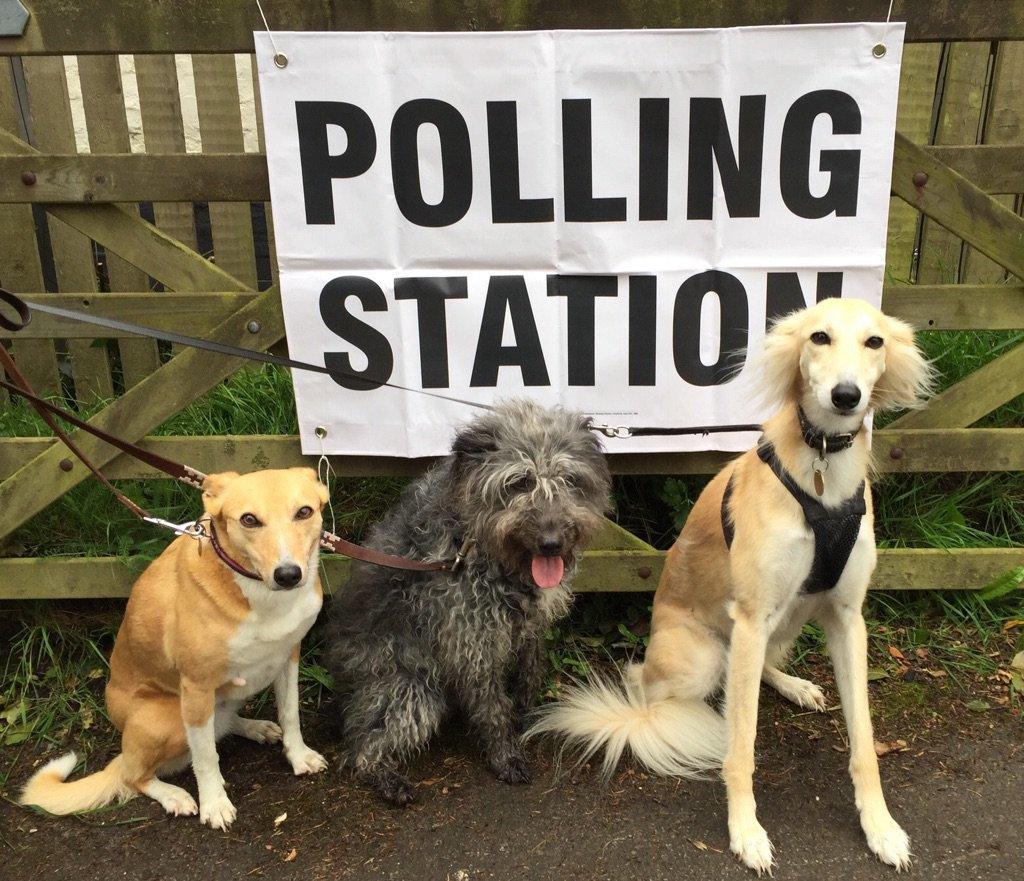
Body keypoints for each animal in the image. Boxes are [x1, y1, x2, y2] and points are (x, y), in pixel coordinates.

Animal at [22, 467, 329, 827]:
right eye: (249, 520)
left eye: (304, 512)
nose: (288, 574)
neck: (258, 592)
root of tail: (124, 749)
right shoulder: (196, 687)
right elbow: (206, 759)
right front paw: (214, 804)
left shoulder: (288, 656)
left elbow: (290, 713)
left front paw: (299, 757)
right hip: (165, 719)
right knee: (135, 775)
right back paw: (173, 795)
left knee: (221, 724)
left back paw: (255, 727)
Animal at [321, 399, 606, 807]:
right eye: (519, 482)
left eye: (569, 479)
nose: (551, 543)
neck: (480, 546)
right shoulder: (471, 643)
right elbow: (492, 707)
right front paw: (504, 754)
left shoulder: (529, 628)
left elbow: (530, 674)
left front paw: (529, 715)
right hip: (409, 688)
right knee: (362, 743)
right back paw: (385, 776)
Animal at [528, 297, 937, 872]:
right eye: (819, 337)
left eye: (874, 341)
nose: (846, 396)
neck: (823, 473)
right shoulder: (751, 616)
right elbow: (741, 748)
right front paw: (746, 831)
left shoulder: (847, 618)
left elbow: (863, 742)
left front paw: (880, 827)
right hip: (705, 656)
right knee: (647, 685)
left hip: (786, 623)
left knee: (759, 667)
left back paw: (795, 685)